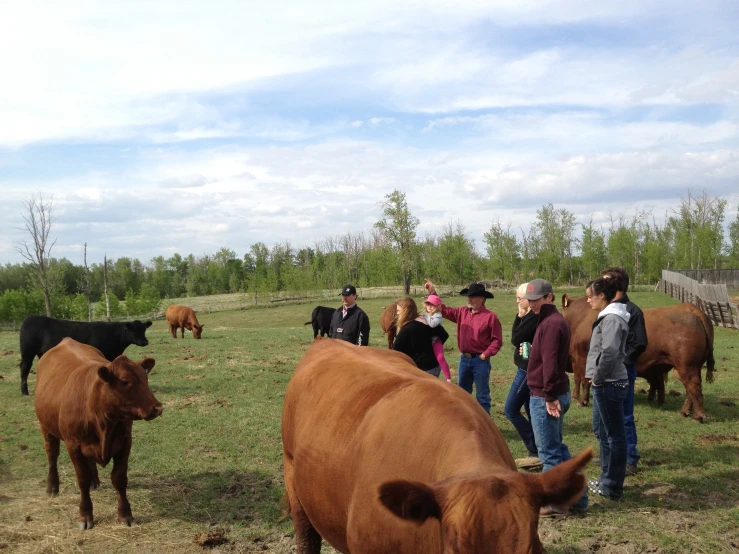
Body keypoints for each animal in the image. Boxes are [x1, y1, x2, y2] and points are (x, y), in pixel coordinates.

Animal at [19, 312, 152, 394]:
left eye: (144, 329)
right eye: (133, 329)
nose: (144, 341)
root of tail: (29, 318)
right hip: (27, 352)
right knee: (24, 367)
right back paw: (25, 392)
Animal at [33, 334, 163, 528]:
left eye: (145, 378)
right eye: (125, 382)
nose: (157, 408)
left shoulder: (125, 442)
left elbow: (119, 478)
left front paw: (125, 514)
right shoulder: (73, 445)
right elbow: (82, 480)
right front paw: (85, 515)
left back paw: (95, 481)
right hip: (46, 428)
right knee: (52, 455)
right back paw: (52, 487)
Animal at [564, 296, 712, 420]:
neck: (577, 321)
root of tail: (690, 309)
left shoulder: (582, 359)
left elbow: (583, 380)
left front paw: (582, 401)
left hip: (686, 366)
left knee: (693, 386)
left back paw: (698, 415)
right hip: (693, 366)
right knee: (690, 389)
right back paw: (685, 411)